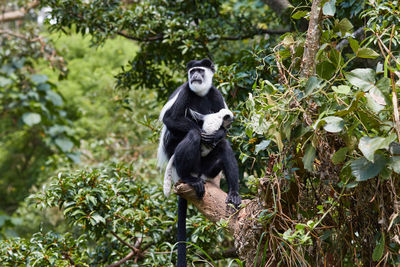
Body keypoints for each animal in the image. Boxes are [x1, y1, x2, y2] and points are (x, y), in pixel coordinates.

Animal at [157, 59, 241, 267]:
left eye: (200, 71)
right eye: (192, 71)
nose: (194, 76)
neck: (200, 93)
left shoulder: (216, 94)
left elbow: (224, 136)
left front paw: (218, 134)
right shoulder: (185, 91)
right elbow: (170, 119)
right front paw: (202, 131)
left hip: (208, 168)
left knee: (224, 147)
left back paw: (234, 194)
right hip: (182, 161)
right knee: (190, 136)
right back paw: (189, 178)